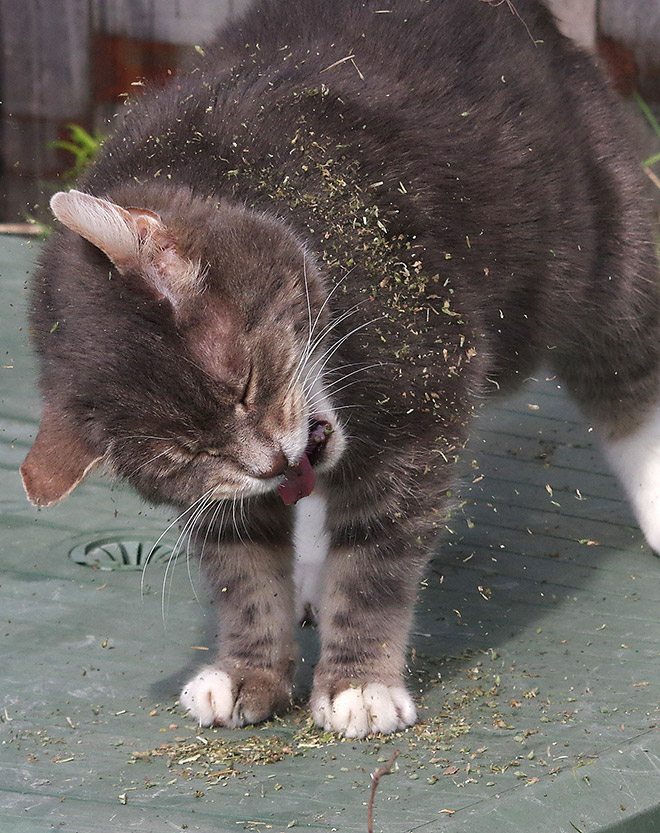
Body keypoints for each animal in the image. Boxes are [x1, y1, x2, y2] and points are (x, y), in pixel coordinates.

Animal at [18, 0, 660, 736]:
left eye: (242, 386)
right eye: (190, 456)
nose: (270, 463)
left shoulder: (418, 392)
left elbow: (375, 558)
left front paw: (360, 683)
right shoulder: (226, 499)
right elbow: (245, 571)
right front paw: (246, 672)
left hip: (601, 240)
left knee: (625, 370)